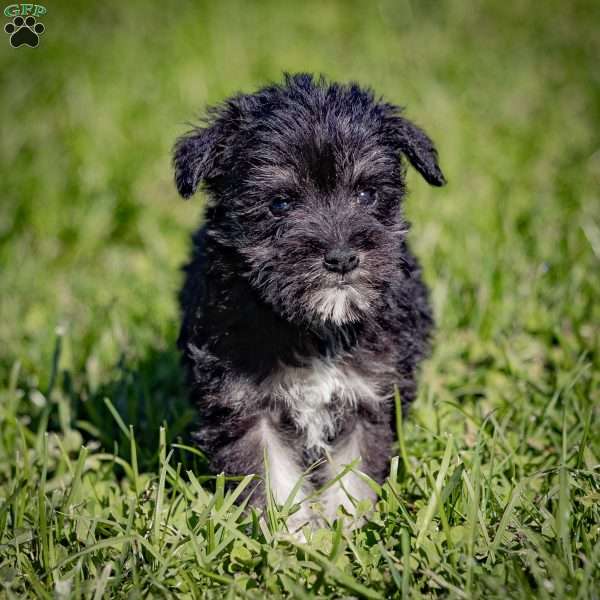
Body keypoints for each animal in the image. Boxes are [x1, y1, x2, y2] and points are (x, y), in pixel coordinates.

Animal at [171, 72, 442, 528]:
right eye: (279, 204)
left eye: (366, 195)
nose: (342, 257)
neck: (316, 327)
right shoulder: (247, 407)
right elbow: (273, 480)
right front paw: (290, 536)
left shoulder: (369, 397)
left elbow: (352, 478)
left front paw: (346, 533)